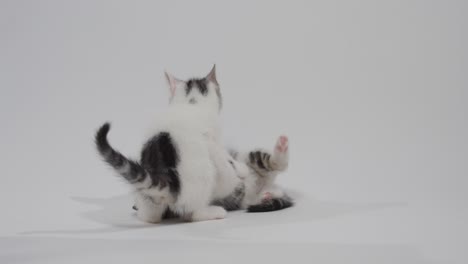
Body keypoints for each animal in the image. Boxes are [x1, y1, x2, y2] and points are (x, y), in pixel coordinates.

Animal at [94, 66, 245, 223]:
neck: (191, 103)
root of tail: (166, 178)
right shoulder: (213, 140)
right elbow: (227, 160)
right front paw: (242, 170)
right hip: (203, 178)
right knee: (193, 213)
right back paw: (214, 212)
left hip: (146, 193)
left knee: (150, 217)